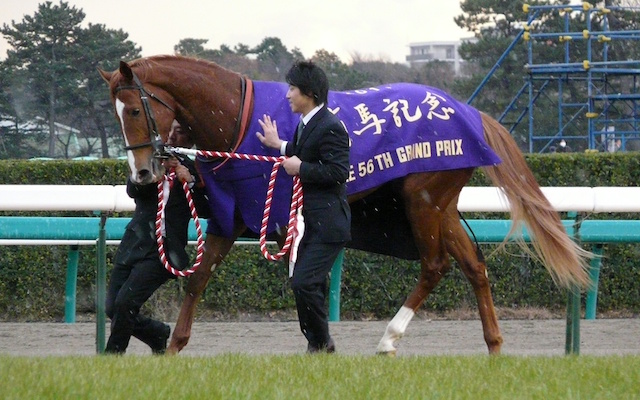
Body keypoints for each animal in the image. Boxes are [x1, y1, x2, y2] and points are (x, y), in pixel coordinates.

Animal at [97, 54, 592, 356]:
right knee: (473, 264)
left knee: (436, 265)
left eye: (135, 111)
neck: (237, 115)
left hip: (423, 199)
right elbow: (198, 279)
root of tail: (471, 113)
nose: (142, 174)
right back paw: (493, 344)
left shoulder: (259, 207)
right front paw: (173, 346)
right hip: (441, 205)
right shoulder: (229, 211)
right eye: (115, 116)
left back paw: (389, 339)